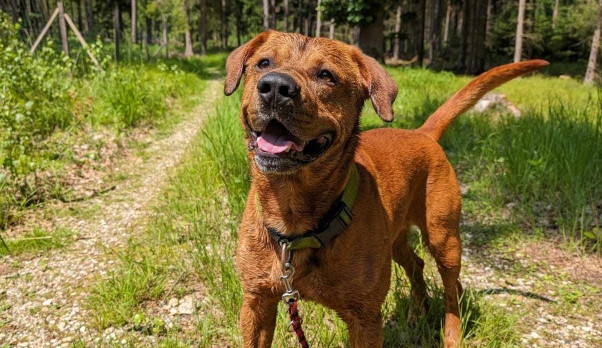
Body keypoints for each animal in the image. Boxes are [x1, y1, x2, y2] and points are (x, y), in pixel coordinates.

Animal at [223, 30, 548, 348]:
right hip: (395, 242)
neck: (293, 214)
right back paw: (417, 315)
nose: (276, 86)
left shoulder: (365, 317)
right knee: (417, 265)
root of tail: (422, 134)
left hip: (444, 239)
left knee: (451, 289)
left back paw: (451, 334)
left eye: (327, 75)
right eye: (264, 63)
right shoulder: (256, 303)